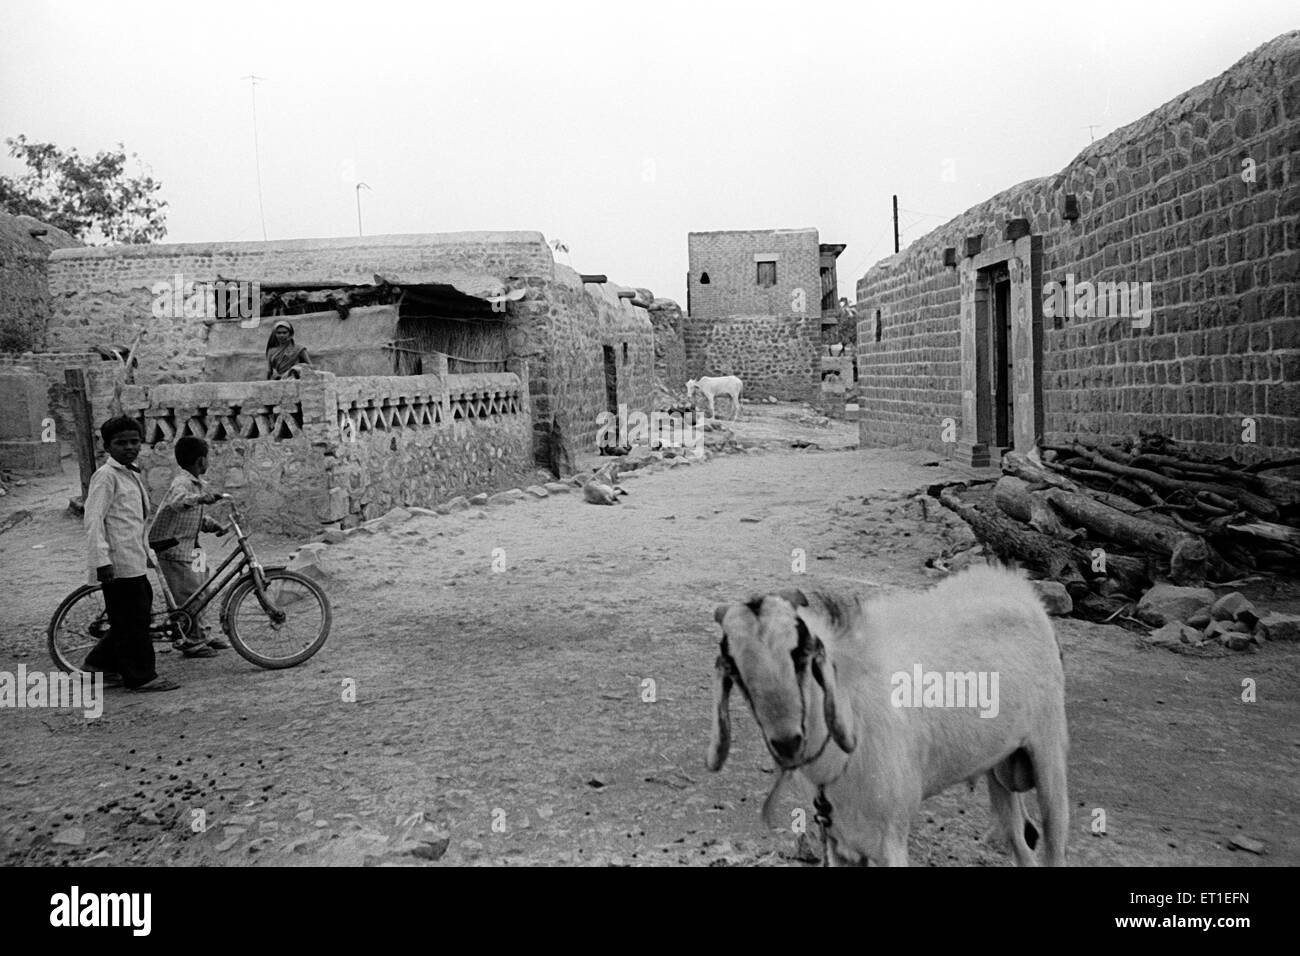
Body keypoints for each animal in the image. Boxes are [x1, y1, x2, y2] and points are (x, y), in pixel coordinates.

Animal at [712, 564, 1066, 868]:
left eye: (800, 653)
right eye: (736, 670)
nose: (787, 742)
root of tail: (1011, 582)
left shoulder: (890, 839)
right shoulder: (839, 840)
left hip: (1049, 750)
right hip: (998, 766)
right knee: (1019, 840)